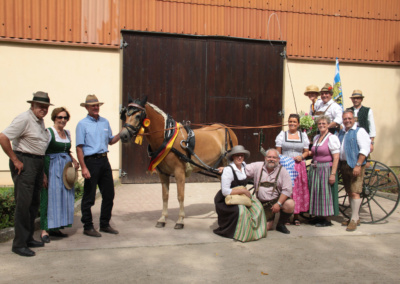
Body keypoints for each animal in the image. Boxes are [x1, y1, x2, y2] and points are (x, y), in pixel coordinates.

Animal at [119, 96, 238, 230]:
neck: (166, 137)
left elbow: (180, 196)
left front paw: (180, 220)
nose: (123, 135)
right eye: (125, 114)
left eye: (138, 115)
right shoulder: (163, 174)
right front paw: (162, 219)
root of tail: (227, 128)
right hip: (219, 167)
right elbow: (165, 196)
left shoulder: (179, 172)